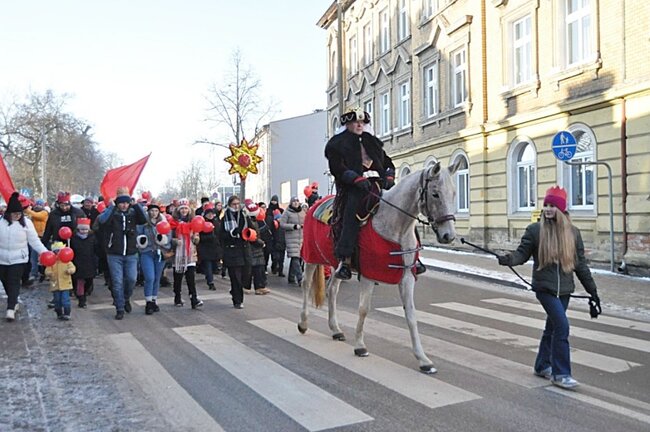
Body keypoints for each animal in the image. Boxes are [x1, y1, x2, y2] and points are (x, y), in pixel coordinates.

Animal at [298, 161, 460, 374]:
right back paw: (303, 323)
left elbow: (411, 315)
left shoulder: (407, 277)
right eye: (435, 194)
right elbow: (363, 309)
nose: (448, 236)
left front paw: (423, 359)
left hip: (337, 264)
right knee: (306, 285)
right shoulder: (368, 275)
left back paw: (336, 329)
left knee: (332, 290)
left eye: (454, 193)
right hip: (311, 258)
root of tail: (314, 205)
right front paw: (360, 346)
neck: (396, 227)